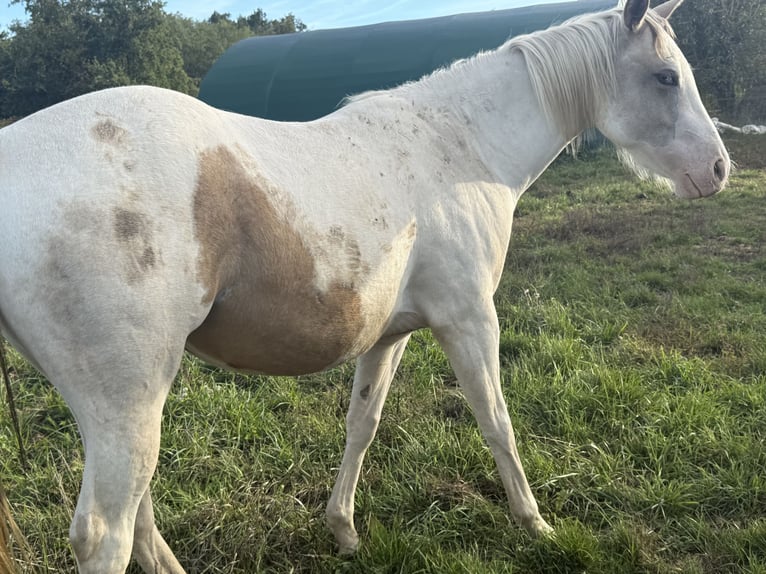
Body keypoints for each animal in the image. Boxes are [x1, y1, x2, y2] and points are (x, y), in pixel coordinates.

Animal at [0, 0, 728, 571]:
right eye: (666, 77)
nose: (719, 168)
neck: (460, 148)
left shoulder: (391, 334)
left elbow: (363, 424)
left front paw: (343, 530)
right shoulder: (469, 320)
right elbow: (496, 420)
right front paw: (536, 525)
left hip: (127, 406)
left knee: (141, 514)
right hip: (127, 398)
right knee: (108, 532)